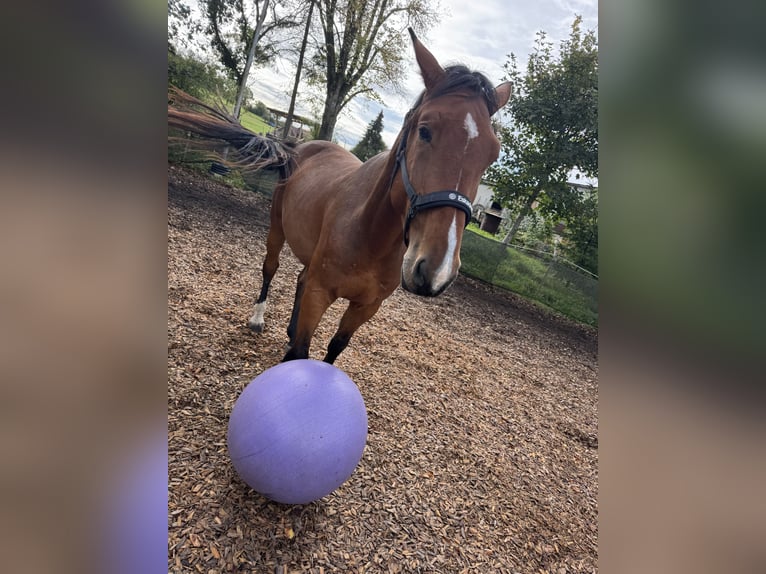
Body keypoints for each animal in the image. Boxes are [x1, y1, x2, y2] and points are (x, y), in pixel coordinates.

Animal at [171, 28, 512, 364]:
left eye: (493, 154)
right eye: (425, 130)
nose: (437, 270)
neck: (370, 232)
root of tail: (300, 147)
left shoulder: (365, 307)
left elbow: (334, 348)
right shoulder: (320, 293)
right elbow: (301, 350)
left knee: (300, 279)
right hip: (277, 228)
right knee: (271, 268)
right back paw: (258, 318)